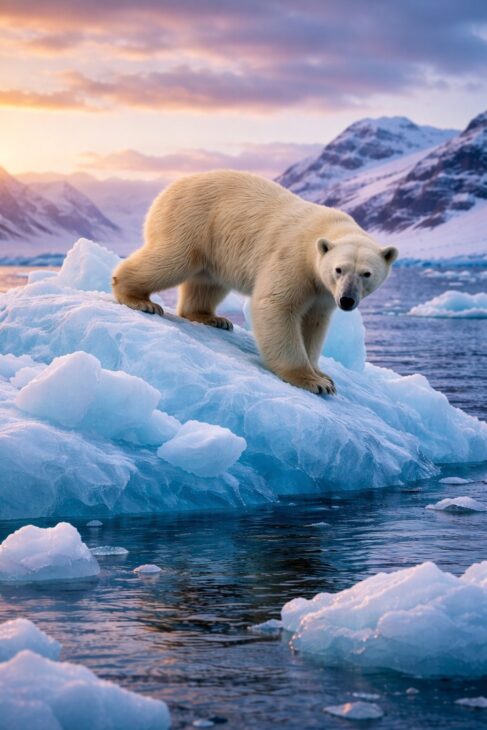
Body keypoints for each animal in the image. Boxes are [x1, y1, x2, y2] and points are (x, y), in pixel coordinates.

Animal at [112, 170, 398, 394]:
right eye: (339, 269)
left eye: (366, 274)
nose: (347, 300)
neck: (324, 233)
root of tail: (168, 189)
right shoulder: (293, 260)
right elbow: (276, 305)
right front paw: (313, 381)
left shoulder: (322, 292)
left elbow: (314, 323)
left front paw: (322, 373)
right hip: (192, 221)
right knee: (171, 260)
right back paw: (138, 298)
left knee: (208, 282)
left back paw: (211, 318)